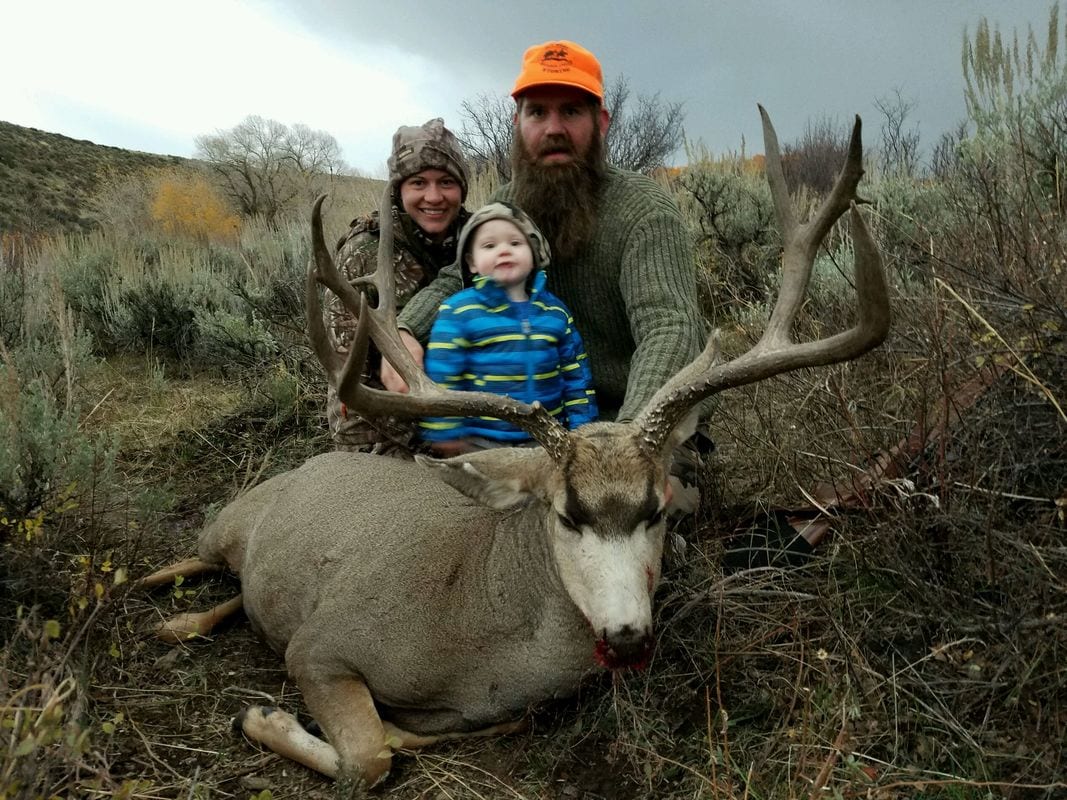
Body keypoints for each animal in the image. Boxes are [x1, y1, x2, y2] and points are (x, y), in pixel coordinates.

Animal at [140, 108, 889, 792]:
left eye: (656, 510)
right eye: (565, 515)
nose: (628, 633)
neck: (482, 627)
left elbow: (406, 739)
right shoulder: (322, 645)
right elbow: (368, 760)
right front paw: (259, 716)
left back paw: (178, 621)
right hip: (230, 524)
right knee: (196, 560)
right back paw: (160, 604)